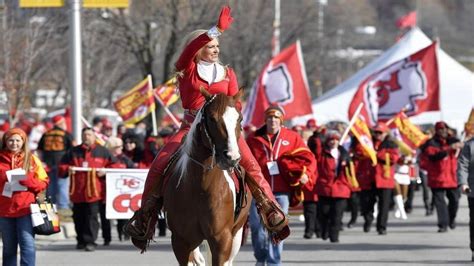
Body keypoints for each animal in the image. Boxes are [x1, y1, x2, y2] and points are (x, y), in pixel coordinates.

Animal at [164, 90, 252, 264]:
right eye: (212, 118)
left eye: (239, 118)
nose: (231, 157)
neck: (201, 185)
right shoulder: (181, 241)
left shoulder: (222, 239)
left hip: (236, 234)